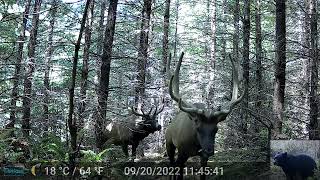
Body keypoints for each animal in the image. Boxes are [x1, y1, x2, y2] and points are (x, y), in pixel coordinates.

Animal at [166, 51, 246, 179]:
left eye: (216, 129)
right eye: (198, 128)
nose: (210, 150)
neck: (196, 143)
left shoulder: (203, 157)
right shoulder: (182, 152)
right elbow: (178, 171)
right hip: (169, 143)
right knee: (172, 165)